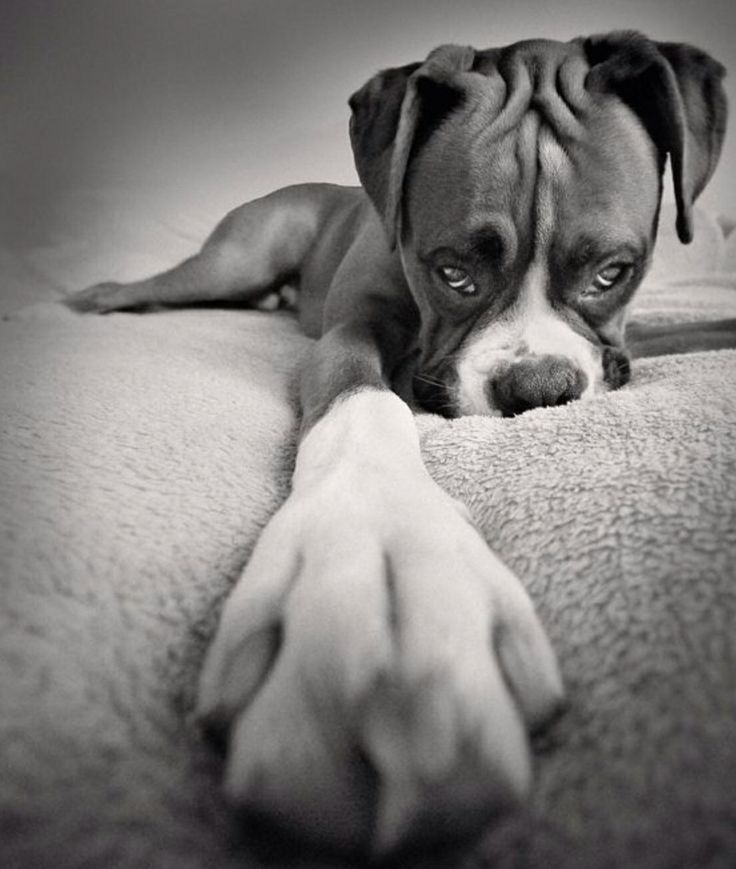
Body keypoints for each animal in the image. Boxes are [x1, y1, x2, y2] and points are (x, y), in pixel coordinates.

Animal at [66, 32, 732, 856]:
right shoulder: (350, 336)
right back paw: (94, 296)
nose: (537, 387)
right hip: (233, 260)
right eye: (451, 272)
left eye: (614, 271)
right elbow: (364, 402)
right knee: (162, 286)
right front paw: (381, 555)